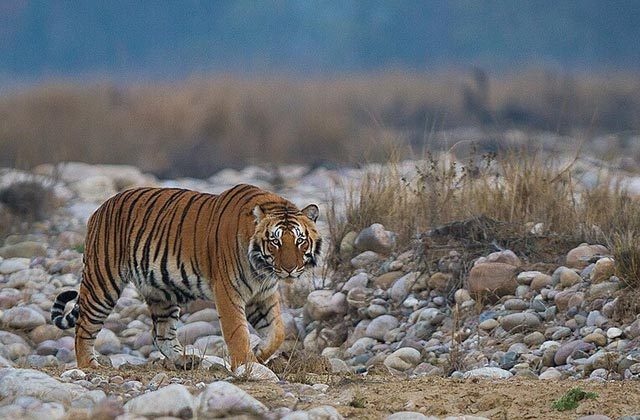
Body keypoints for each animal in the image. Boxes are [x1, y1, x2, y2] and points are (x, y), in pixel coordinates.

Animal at [51, 184, 321, 370]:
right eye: (275, 241)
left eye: (299, 240)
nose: (289, 269)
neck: (262, 270)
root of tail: (99, 209)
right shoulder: (228, 292)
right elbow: (237, 331)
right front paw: (247, 365)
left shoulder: (262, 295)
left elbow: (278, 332)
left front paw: (260, 352)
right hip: (103, 282)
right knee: (84, 326)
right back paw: (88, 365)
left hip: (161, 293)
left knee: (161, 335)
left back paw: (184, 361)